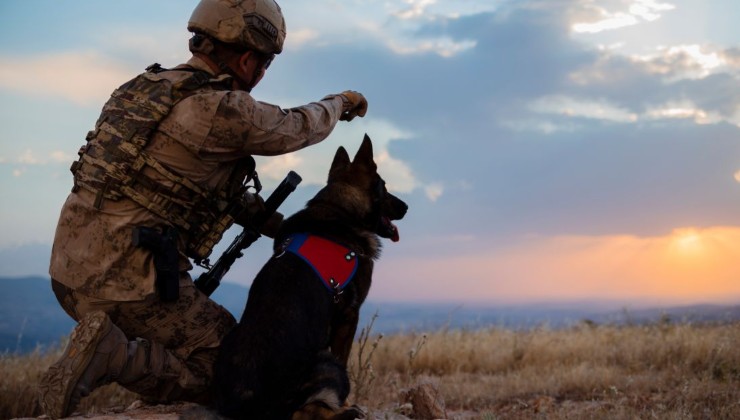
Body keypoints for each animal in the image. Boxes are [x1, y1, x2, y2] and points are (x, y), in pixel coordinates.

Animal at [212, 136, 410, 418]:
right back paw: (346, 411)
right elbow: (344, 359)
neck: (338, 208)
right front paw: (347, 404)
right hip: (326, 363)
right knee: (307, 411)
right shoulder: (349, 317)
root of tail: (252, 406)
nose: (406, 207)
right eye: (384, 186)